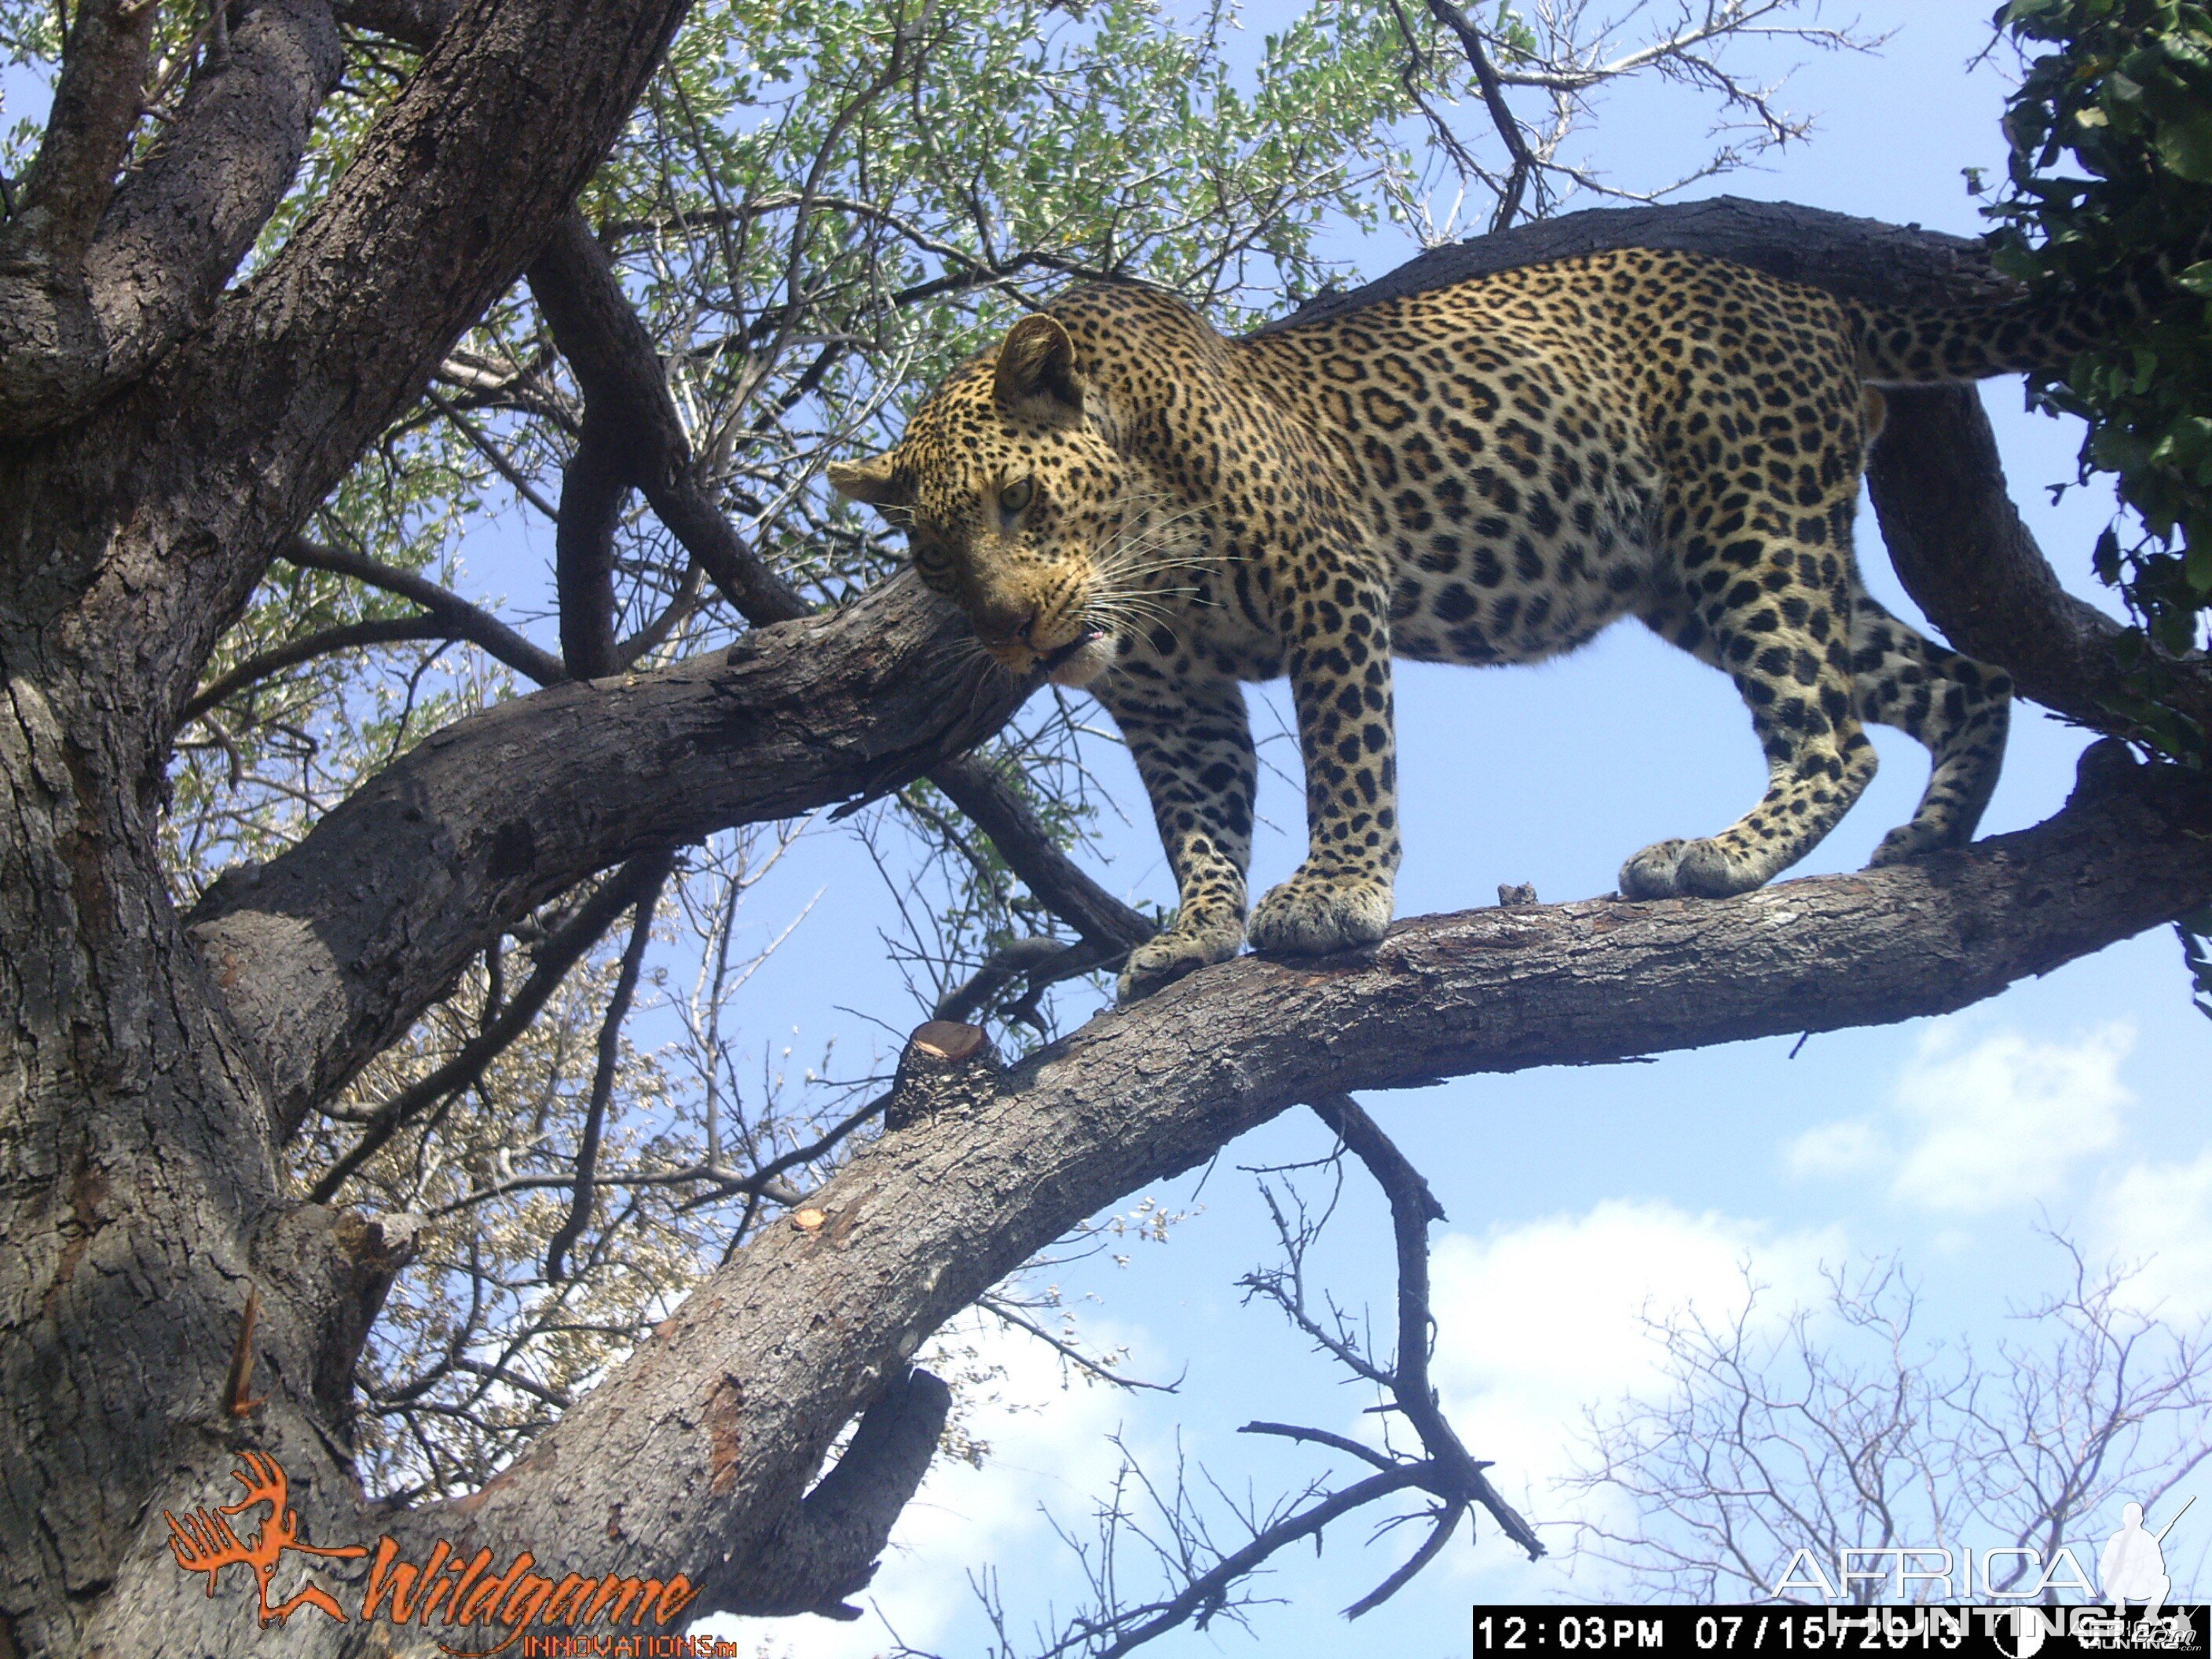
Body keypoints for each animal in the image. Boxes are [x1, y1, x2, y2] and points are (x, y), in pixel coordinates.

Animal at [831, 246, 2105, 999]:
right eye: (934, 560)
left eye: (1019, 501)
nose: (1019, 636)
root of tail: (1816, 297)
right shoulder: (1170, 696)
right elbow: (1198, 821)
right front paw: (1196, 931)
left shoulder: (1326, 576)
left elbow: (1347, 757)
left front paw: (1335, 896)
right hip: (1702, 573)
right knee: (1959, 680)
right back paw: (1932, 842)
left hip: (1747, 522)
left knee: (1834, 735)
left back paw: (1718, 856)